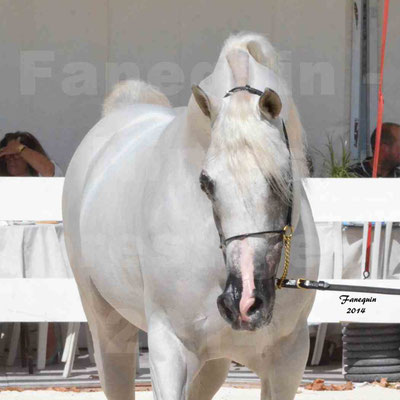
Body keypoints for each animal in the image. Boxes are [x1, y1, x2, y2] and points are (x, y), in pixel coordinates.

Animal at [62, 32, 318, 400]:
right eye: (205, 182)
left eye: (282, 178)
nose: (244, 302)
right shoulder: (169, 350)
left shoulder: (288, 359)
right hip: (106, 326)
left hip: (214, 363)